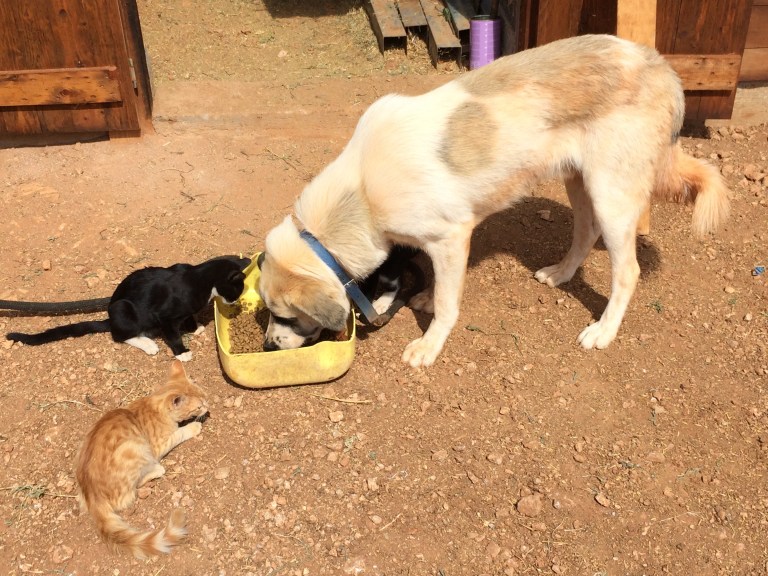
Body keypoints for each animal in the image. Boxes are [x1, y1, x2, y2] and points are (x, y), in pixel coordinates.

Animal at [6, 255, 250, 361]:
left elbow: (188, 317)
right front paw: (182, 352)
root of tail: (109, 315)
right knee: (119, 335)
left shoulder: (185, 310)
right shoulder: (164, 316)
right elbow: (172, 335)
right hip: (123, 309)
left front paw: (194, 326)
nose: (235, 301)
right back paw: (148, 344)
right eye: (237, 289)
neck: (199, 280)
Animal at [75, 359, 209, 559]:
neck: (154, 404)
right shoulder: (159, 445)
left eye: (205, 397)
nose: (208, 407)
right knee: (135, 488)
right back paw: (157, 469)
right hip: (135, 449)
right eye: (198, 407)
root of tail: (93, 499)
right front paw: (193, 427)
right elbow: (180, 432)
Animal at [258, 34, 730, 367]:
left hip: (611, 194)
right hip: (580, 183)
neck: (360, 192)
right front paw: (425, 299)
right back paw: (560, 273)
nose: (268, 346)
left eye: (284, 314)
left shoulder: (450, 238)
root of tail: (661, 64)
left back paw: (603, 331)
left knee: (627, 271)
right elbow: (440, 287)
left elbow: (448, 303)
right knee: (584, 232)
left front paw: (430, 344)